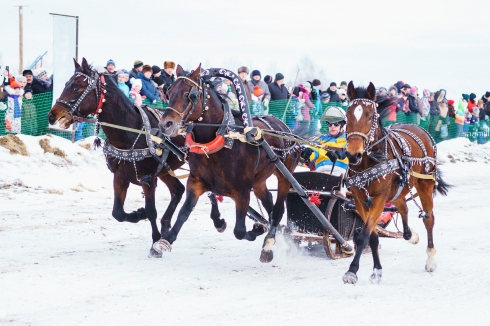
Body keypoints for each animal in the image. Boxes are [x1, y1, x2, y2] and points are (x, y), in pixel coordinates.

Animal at [46, 58, 226, 258]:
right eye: (66, 84)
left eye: (77, 87)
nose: (52, 115)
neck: (132, 130)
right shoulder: (120, 177)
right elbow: (118, 213)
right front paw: (139, 214)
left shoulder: (148, 179)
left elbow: (151, 210)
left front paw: (155, 242)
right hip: (164, 170)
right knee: (178, 191)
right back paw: (167, 224)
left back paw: (217, 220)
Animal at [159, 64, 300, 262]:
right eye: (169, 91)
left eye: (189, 94)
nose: (165, 124)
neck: (222, 141)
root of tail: (286, 128)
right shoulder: (195, 182)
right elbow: (184, 212)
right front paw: (165, 240)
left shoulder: (242, 190)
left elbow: (239, 230)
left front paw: (257, 229)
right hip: (259, 181)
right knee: (269, 203)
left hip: (284, 175)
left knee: (278, 208)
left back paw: (268, 243)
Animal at [342, 82, 450, 286]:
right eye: (347, 116)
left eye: (370, 116)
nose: (353, 154)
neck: (370, 161)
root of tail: (419, 128)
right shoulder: (360, 199)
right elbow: (372, 236)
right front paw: (377, 270)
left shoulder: (379, 197)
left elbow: (364, 235)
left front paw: (352, 271)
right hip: (399, 190)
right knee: (403, 208)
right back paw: (410, 235)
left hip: (425, 184)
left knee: (429, 218)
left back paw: (430, 258)